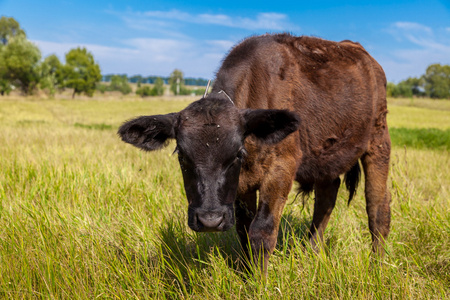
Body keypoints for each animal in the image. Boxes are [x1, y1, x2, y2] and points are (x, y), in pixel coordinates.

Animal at [119, 33, 390, 274]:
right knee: (326, 199)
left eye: (237, 153)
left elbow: (262, 230)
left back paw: (377, 266)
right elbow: (243, 230)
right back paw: (313, 253)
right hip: (326, 157)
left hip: (378, 141)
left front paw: (259, 281)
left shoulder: (282, 168)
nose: (210, 220)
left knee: (377, 209)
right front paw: (248, 273)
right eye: (182, 155)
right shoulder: (240, 188)